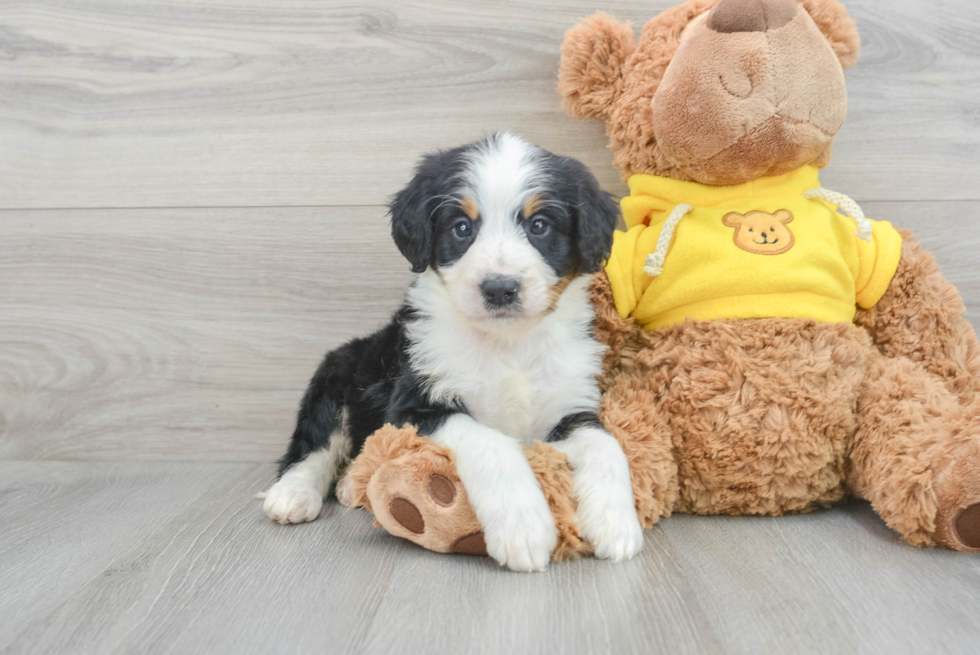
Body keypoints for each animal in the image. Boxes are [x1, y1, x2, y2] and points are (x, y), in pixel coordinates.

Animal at [262, 132, 644, 568]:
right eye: (462, 227)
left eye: (539, 225)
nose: (500, 288)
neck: (508, 345)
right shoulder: (414, 405)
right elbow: (490, 442)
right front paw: (524, 528)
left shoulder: (570, 405)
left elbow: (607, 446)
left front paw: (616, 524)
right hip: (340, 372)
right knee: (314, 445)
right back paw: (293, 494)